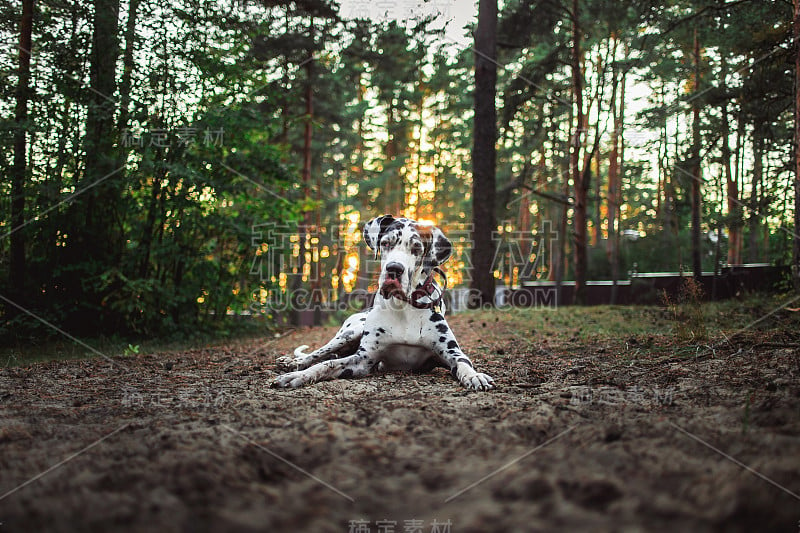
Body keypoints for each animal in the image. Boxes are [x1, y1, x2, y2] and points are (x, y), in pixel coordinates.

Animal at [274, 213, 494, 390]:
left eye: (416, 248)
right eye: (386, 243)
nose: (394, 269)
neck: (404, 307)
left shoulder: (452, 353)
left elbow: (465, 364)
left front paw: (475, 376)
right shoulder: (363, 359)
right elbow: (324, 365)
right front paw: (297, 376)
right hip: (349, 332)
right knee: (319, 354)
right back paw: (291, 363)